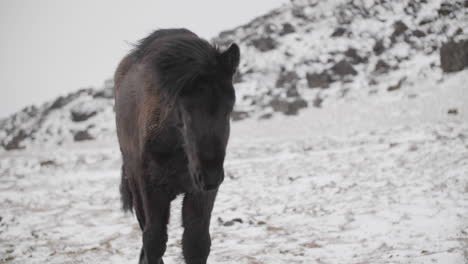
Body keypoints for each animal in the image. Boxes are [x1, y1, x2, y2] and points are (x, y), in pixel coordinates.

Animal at [112, 27, 238, 262]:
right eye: (185, 112)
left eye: (229, 109)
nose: (210, 176)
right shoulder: (150, 189)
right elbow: (154, 240)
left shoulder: (200, 193)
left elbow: (196, 242)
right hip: (135, 185)